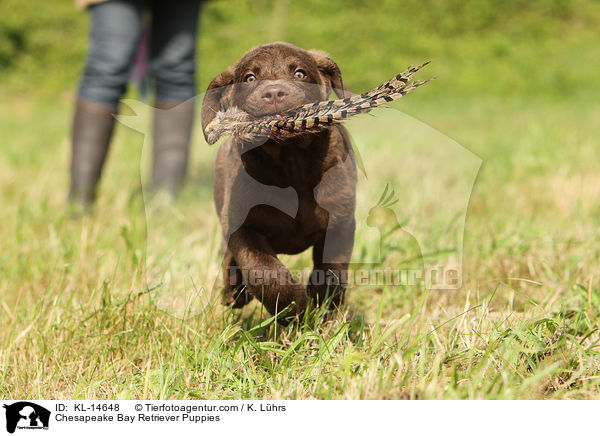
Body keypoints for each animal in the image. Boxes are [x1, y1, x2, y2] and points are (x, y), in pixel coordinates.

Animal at [202, 42, 356, 322]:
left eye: (299, 73)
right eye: (250, 78)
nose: (273, 92)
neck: (292, 164)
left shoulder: (341, 222)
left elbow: (332, 269)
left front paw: (323, 308)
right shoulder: (243, 228)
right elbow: (264, 271)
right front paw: (295, 309)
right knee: (228, 257)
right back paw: (234, 293)